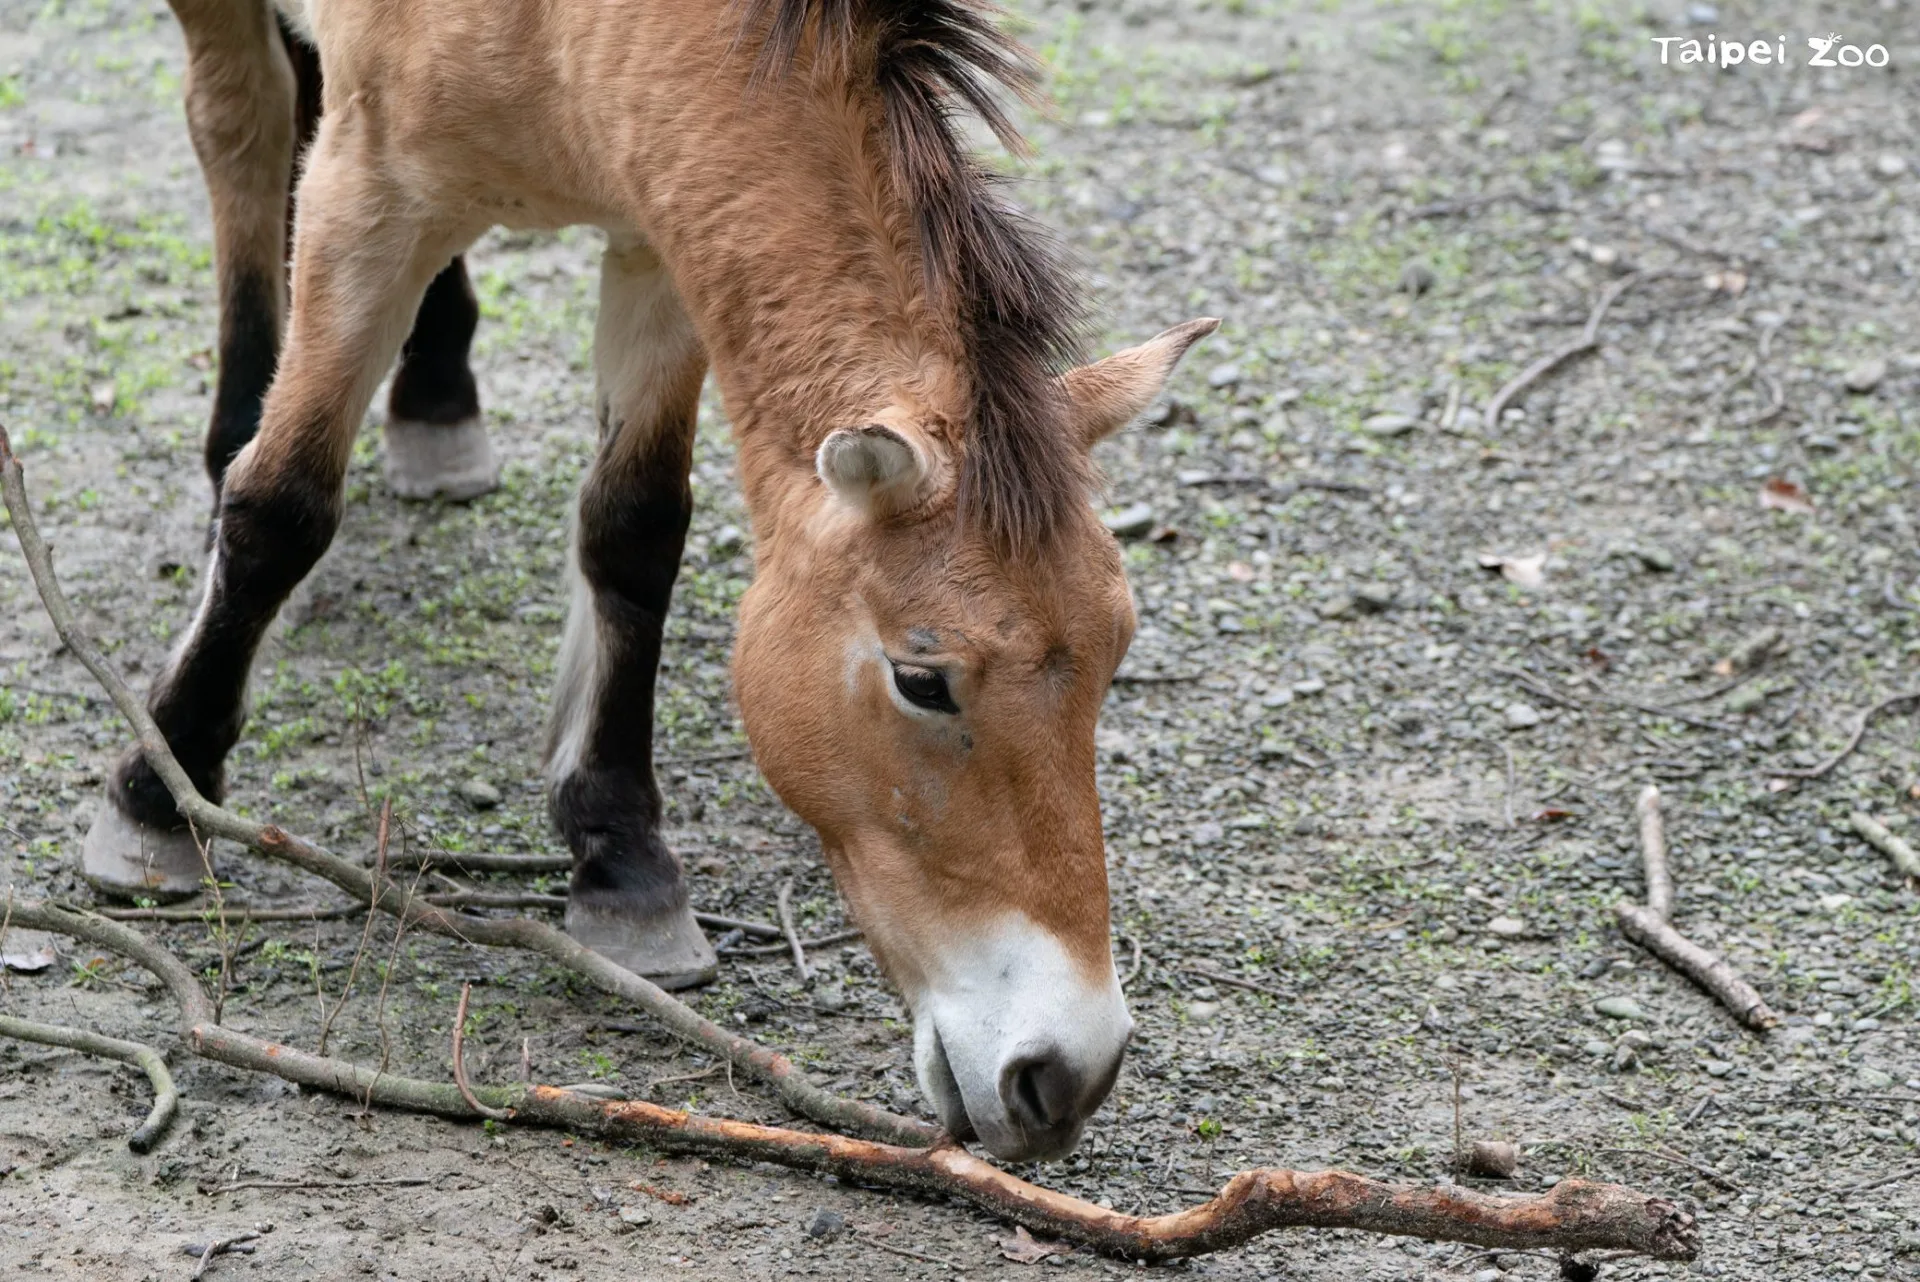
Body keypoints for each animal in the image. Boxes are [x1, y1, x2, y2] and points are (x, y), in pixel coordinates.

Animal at [89, 0, 1216, 1162]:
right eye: (923, 681)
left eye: (1116, 657)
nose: (1068, 1072)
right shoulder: (368, 194)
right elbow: (282, 505)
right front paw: (159, 791)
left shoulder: (661, 238)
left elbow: (632, 531)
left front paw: (622, 860)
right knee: (244, 126)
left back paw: (438, 395)